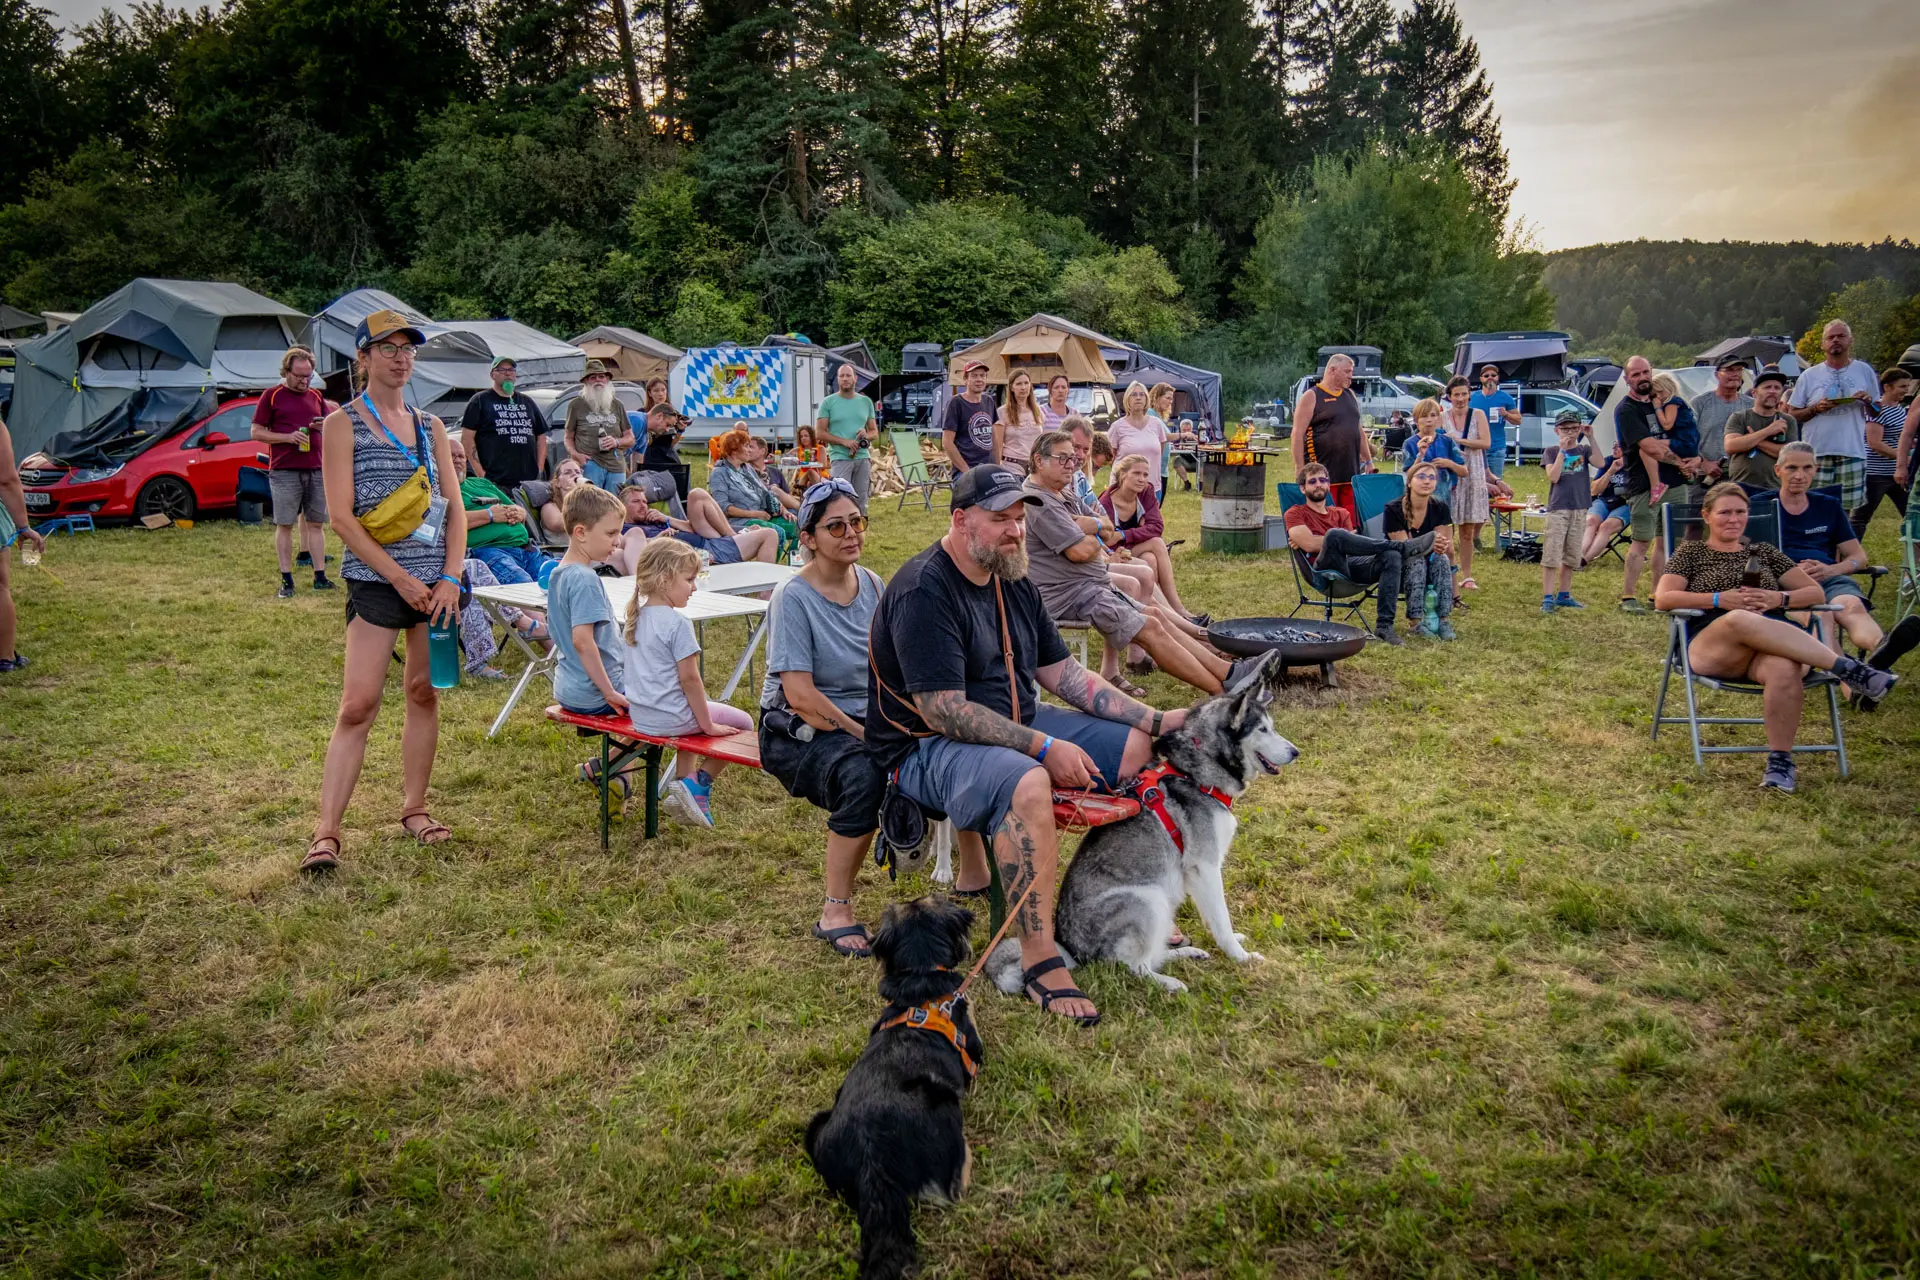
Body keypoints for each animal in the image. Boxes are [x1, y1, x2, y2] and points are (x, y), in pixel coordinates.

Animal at [990, 656, 1305, 997]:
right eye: (1263, 729)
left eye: (1272, 727)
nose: (1296, 752)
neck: (1198, 770)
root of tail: (1071, 949)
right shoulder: (1205, 867)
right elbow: (1221, 919)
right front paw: (1240, 956)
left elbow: (1216, 919)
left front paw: (1234, 944)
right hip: (1149, 899)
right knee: (1133, 966)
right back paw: (1169, 982)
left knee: (1153, 955)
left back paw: (1186, 953)